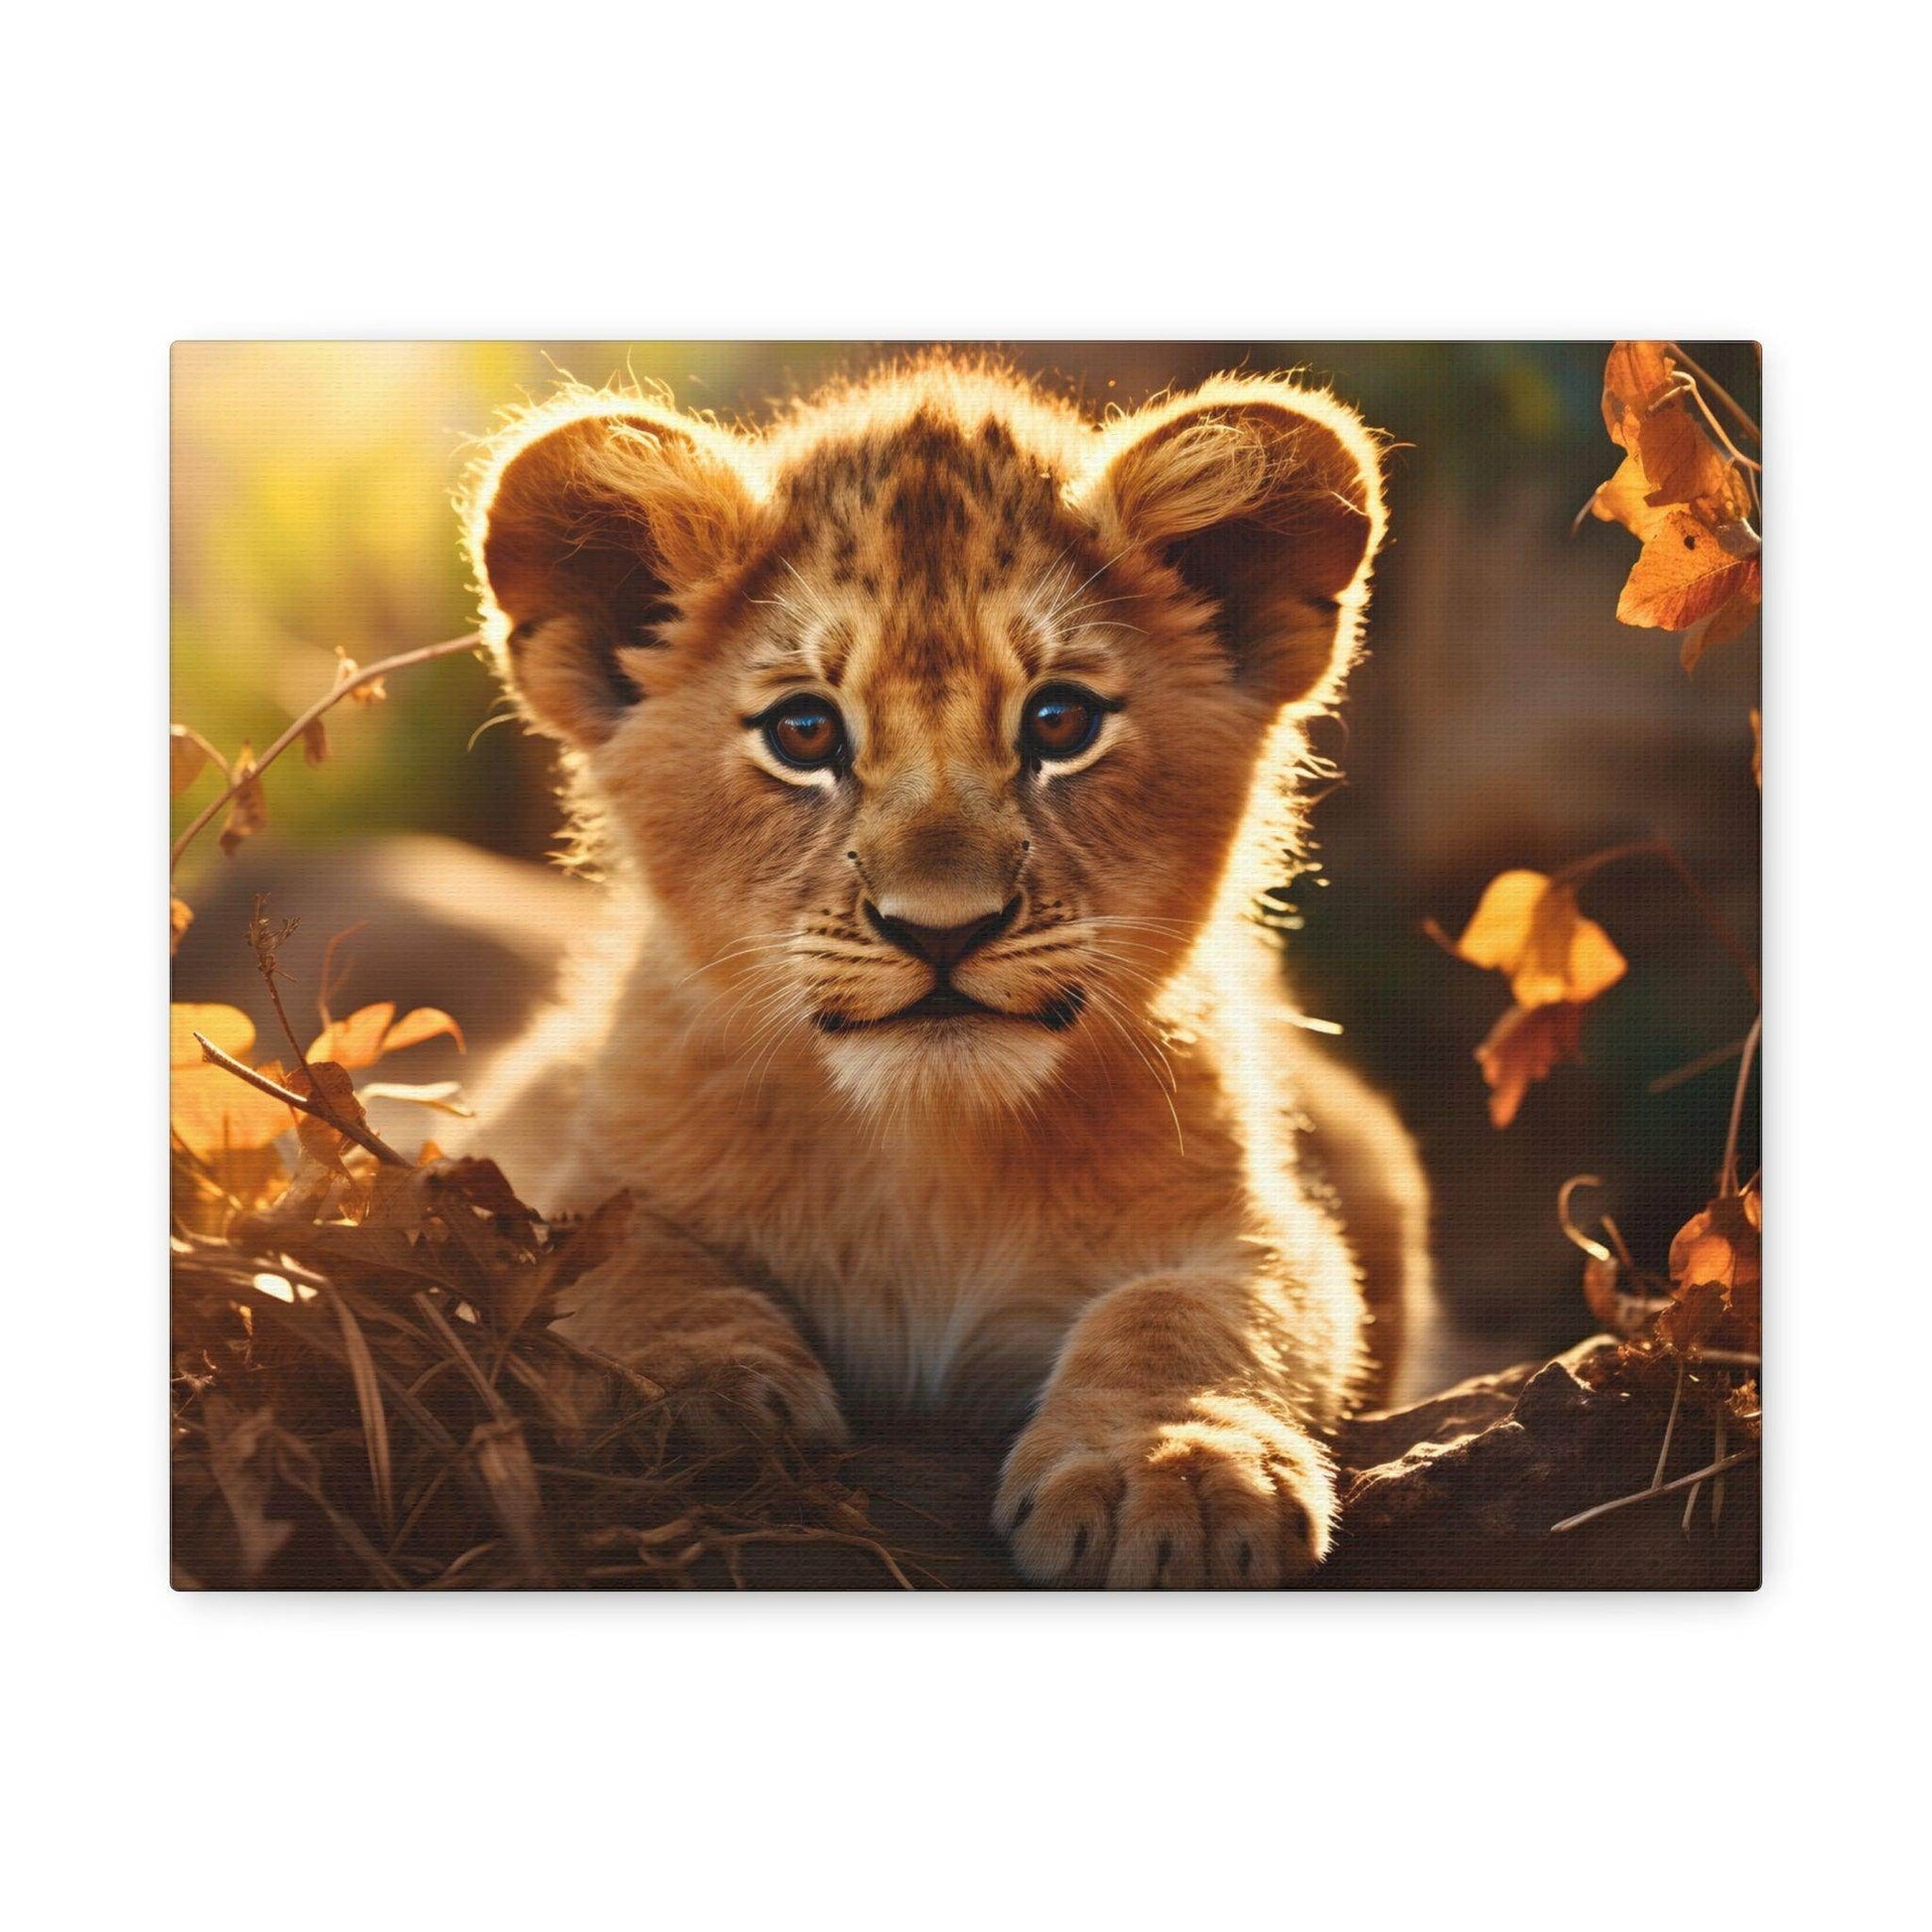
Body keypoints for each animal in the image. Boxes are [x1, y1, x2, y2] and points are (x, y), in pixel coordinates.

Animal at [461, 353, 1436, 1587]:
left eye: (1059, 721)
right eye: (803, 732)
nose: (939, 929)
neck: (925, 1153)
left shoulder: (1258, 1221)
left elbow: (1196, 1309)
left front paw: (1171, 1467)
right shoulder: (549, 1155)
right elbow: (611, 1252)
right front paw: (690, 1390)